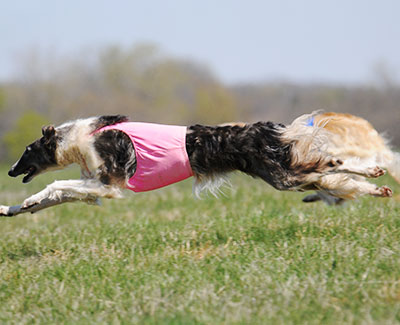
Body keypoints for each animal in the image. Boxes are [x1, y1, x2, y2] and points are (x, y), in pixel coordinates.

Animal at [0, 112, 394, 216]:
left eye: (28, 150)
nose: (10, 171)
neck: (81, 138)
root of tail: (264, 128)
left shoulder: (108, 184)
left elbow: (55, 184)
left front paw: (27, 200)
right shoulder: (94, 187)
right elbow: (55, 195)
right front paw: (15, 207)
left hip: (284, 175)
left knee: (332, 166)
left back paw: (374, 174)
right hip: (286, 171)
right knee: (334, 170)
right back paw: (377, 183)